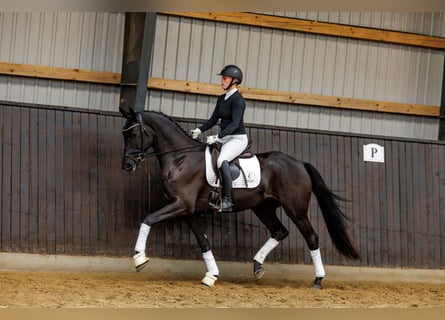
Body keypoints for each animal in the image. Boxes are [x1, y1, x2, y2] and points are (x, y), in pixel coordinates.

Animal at [119, 109, 360, 288]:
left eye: (133, 134)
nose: (127, 166)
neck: (181, 158)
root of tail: (299, 163)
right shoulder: (189, 211)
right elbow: (204, 242)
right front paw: (211, 275)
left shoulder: (181, 205)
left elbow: (148, 219)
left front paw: (139, 258)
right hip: (263, 207)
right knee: (279, 231)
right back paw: (257, 266)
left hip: (296, 210)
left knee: (311, 237)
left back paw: (318, 280)